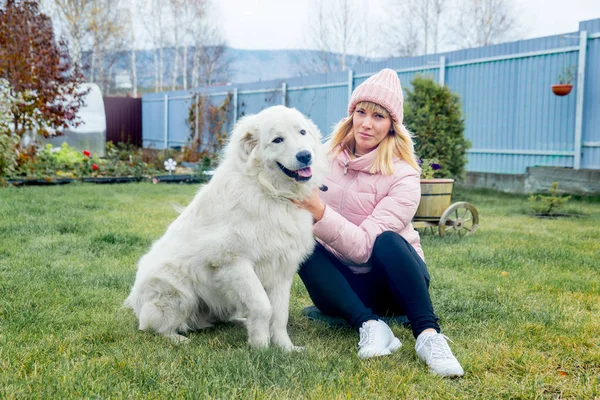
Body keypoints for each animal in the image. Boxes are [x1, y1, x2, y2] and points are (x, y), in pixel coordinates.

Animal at [123, 105, 326, 350]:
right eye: (277, 139)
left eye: (302, 132)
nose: (305, 155)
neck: (270, 192)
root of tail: (134, 301)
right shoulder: (233, 263)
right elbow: (263, 306)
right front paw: (260, 347)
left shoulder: (281, 270)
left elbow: (279, 315)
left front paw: (285, 348)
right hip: (176, 291)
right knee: (152, 326)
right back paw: (177, 338)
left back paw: (240, 322)